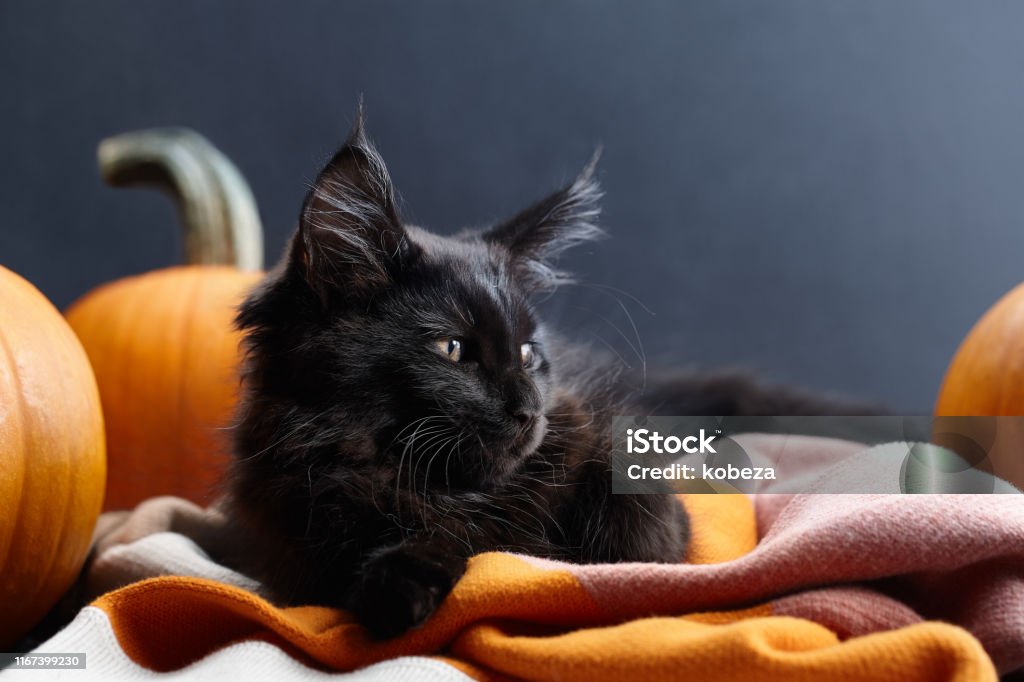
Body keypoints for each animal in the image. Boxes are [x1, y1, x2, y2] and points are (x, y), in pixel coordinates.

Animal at [228, 109, 868, 634]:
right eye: (452, 348)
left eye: (529, 354)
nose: (528, 410)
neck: (437, 487)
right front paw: (401, 583)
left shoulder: (601, 436)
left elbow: (635, 512)